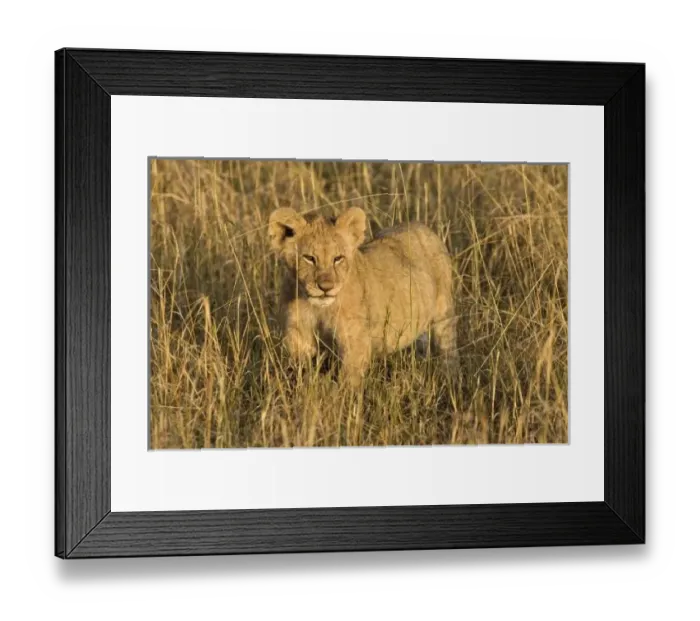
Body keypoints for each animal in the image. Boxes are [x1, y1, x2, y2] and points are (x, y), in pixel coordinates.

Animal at [268, 207, 458, 387]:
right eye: (309, 258)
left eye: (338, 258)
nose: (326, 287)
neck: (318, 308)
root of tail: (421, 226)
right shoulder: (298, 336)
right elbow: (301, 374)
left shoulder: (355, 343)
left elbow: (348, 384)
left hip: (443, 317)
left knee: (448, 351)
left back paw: (450, 381)